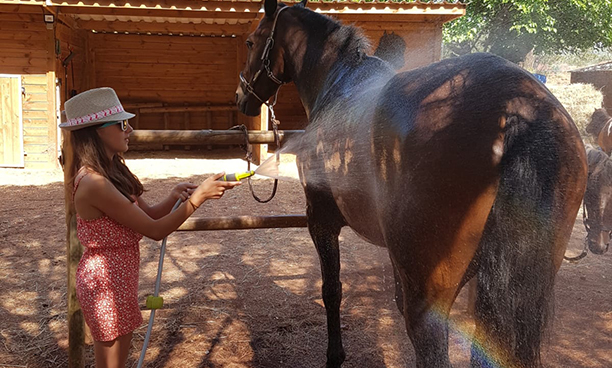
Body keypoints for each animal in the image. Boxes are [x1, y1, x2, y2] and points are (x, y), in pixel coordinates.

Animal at [235, 1, 588, 366]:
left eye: (250, 42)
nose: (241, 97)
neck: (338, 85)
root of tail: (518, 108)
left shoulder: (321, 221)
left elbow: (331, 291)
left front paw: (335, 355)